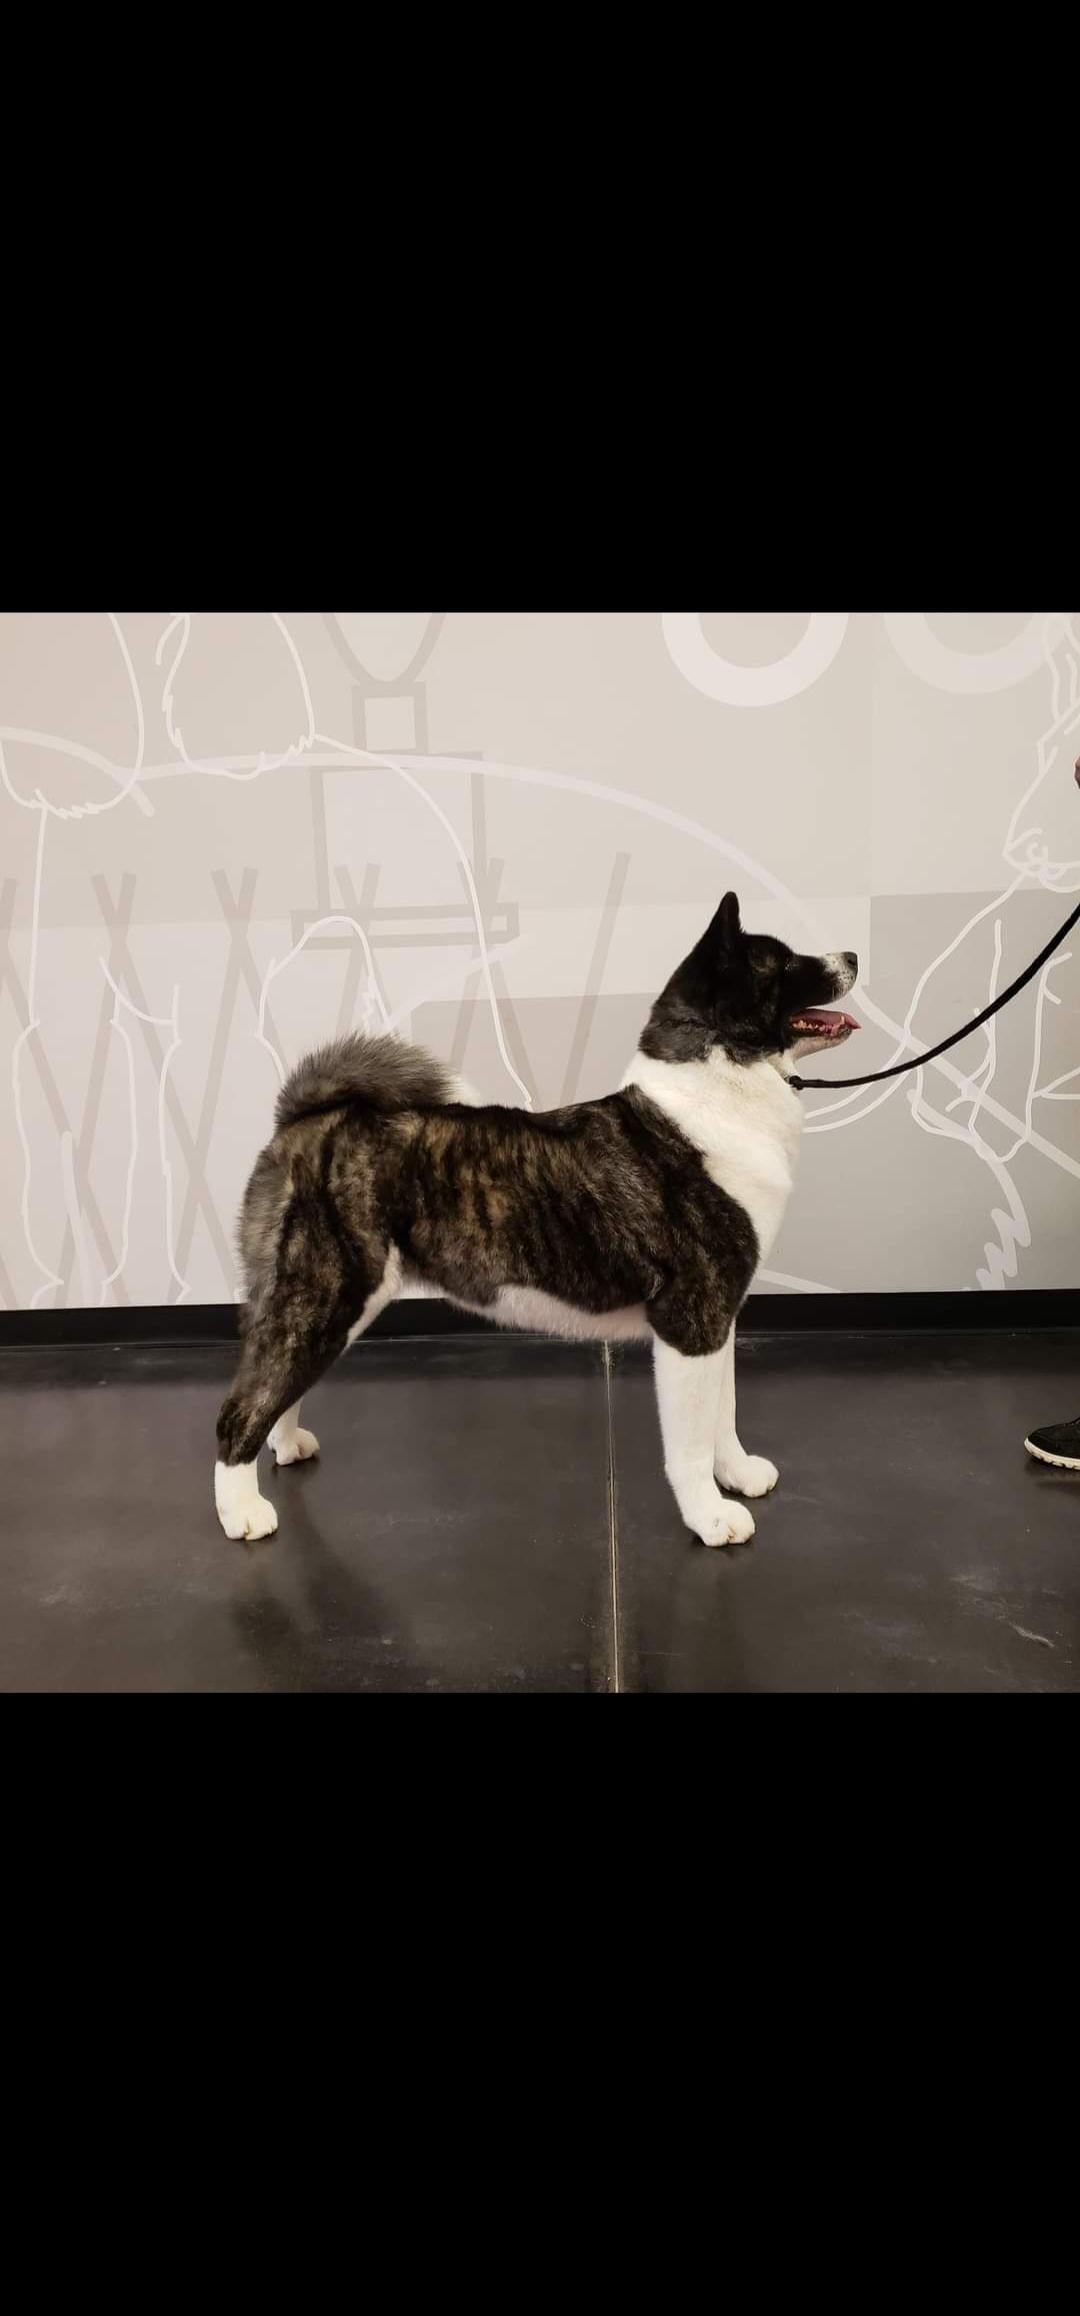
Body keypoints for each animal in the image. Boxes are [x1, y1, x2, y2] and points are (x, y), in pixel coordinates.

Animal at [214, 894, 858, 1549]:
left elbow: (722, 1414)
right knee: (239, 1410)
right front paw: (711, 1516)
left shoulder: (720, 1319)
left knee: (280, 1389)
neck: (718, 1093)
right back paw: (242, 1511)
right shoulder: (690, 1320)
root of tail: (303, 1120)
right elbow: (691, 1441)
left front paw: (738, 1474)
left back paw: (285, 1444)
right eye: (780, 962)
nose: (853, 955)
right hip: (322, 1295)